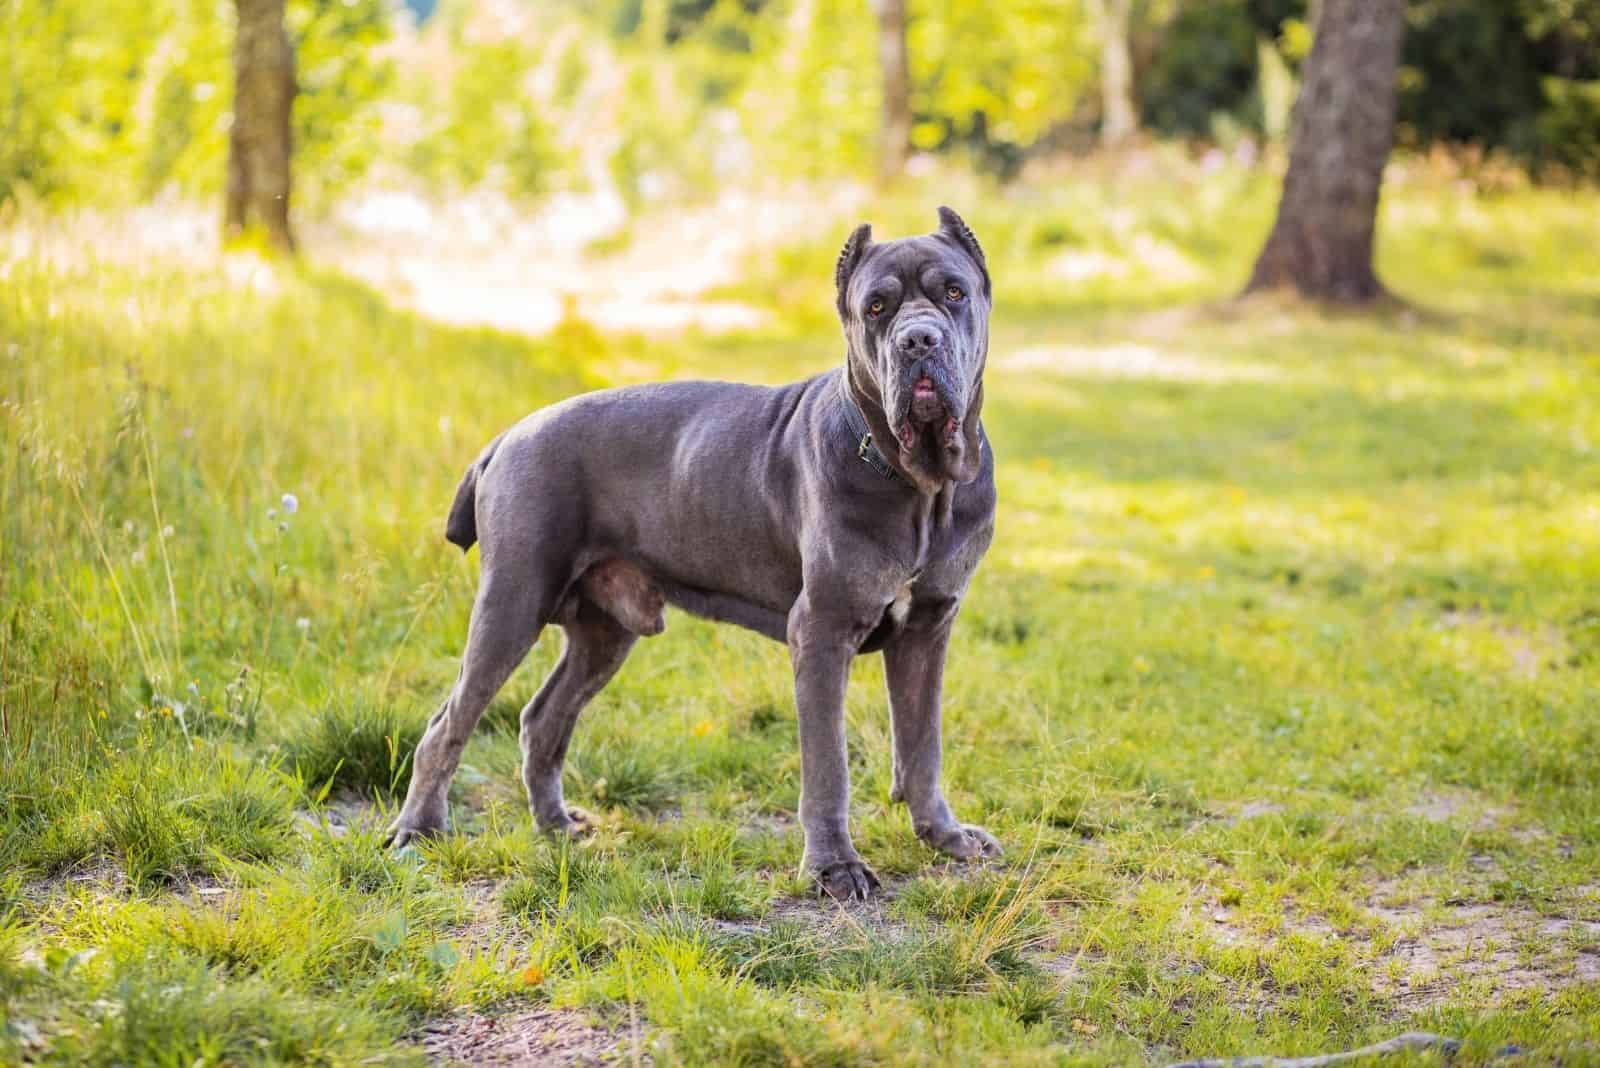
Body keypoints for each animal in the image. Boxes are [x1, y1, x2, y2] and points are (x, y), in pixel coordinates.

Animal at [380, 204, 992, 895]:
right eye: (877, 308)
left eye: (953, 293)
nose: (919, 340)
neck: (921, 483)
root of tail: (507, 435)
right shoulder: (822, 630)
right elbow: (827, 764)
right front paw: (835, 866)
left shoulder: (929, 626)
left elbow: (922, 744)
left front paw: (945, 837)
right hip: (512, 602)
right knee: (447, 724)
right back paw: (417, 832)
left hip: (604, 633)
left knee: (543, 719)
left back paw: (558, 826)